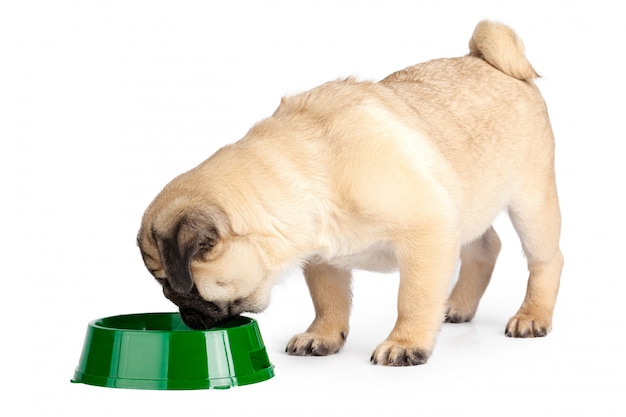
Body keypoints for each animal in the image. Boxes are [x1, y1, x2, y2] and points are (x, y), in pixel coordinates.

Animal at [136, 20, 560, 364]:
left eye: (177, 286)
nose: (185, 316)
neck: (310, 169)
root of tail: (485, 60)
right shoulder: (323, 259)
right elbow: (329, 300)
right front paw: (321, 336)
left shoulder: (428, 234)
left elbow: (414, 298)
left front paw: (406, 343)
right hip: (470, 202)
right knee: (485, 246)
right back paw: (456, 306)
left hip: (531, 200)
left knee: (546, 260)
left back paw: (531, 316)